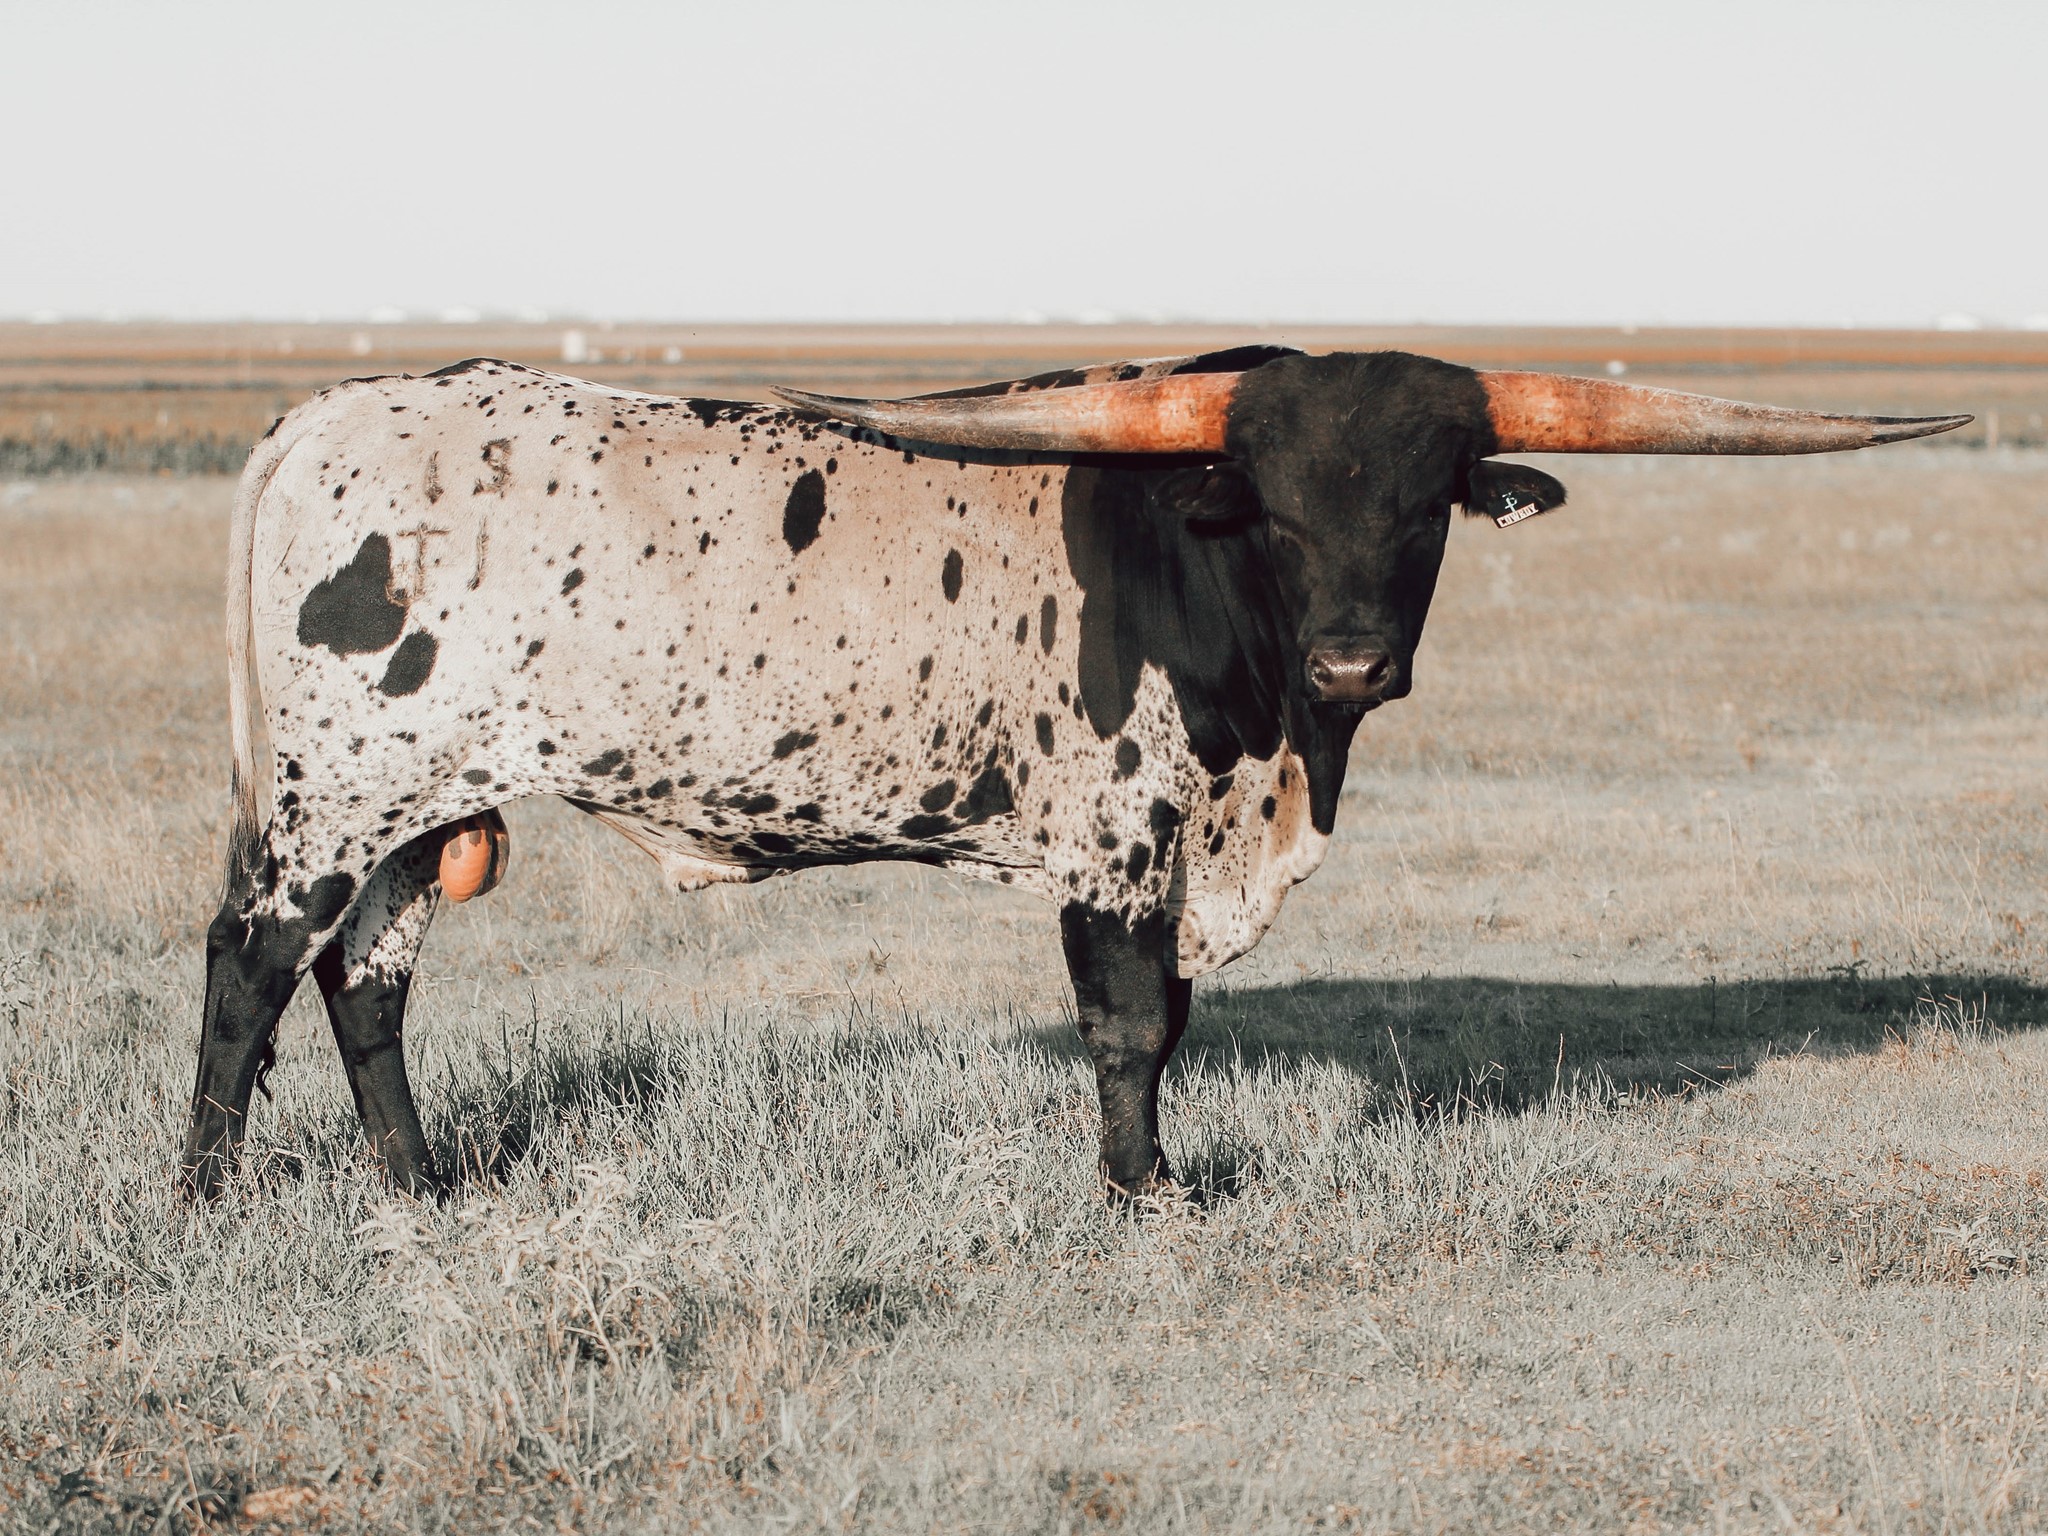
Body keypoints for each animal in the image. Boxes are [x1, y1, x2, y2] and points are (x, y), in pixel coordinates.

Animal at [181, 346, 1966, 1201]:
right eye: (1271, 498)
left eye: (1430, 499)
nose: (1353, 665)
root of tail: (331, 413)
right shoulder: (1116, 839)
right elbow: (1126, 1030)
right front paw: (1143, 1194)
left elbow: (1166, 1022)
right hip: (334, 801)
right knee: (249, 969)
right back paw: (209, 1199)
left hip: (417, 816)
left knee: (367, 991)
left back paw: (419, 1191)